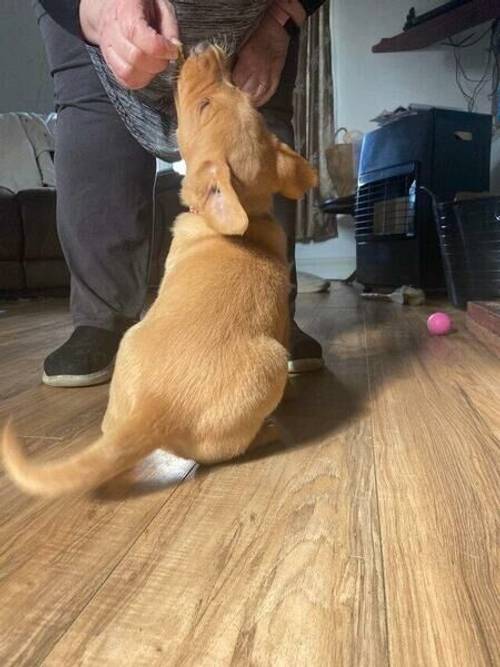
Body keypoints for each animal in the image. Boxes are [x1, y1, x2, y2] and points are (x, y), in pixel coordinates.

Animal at [1, 44, 316, 498]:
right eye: (218, 99)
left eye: (204, 106)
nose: (203, 48)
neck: (247, 216)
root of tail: (155, 409)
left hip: (265, 364)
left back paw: (268, 431)